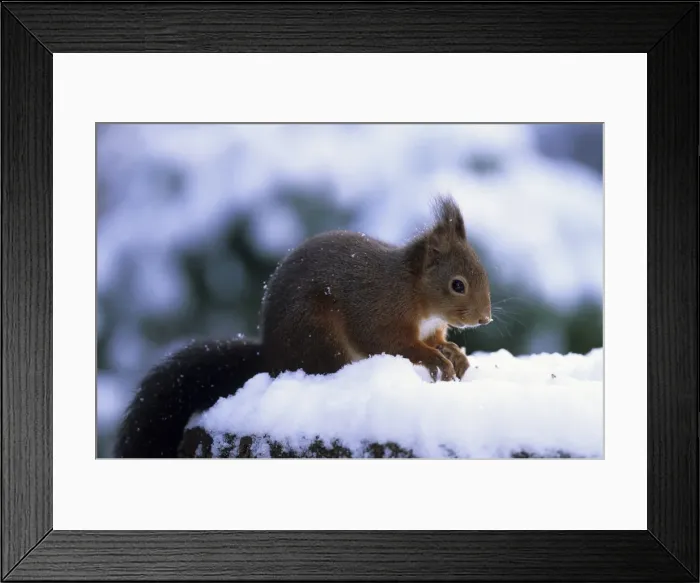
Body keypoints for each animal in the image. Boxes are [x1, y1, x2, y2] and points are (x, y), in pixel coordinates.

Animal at [113, 194, 492, 458]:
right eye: (457, 284)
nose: (485, 319)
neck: (414, 291)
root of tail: (270, 357)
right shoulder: (380, 313)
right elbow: (393, 344)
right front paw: (436, 359)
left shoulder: (430, 327)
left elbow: (437, 340)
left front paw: (455, 354)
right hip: (318, 334)